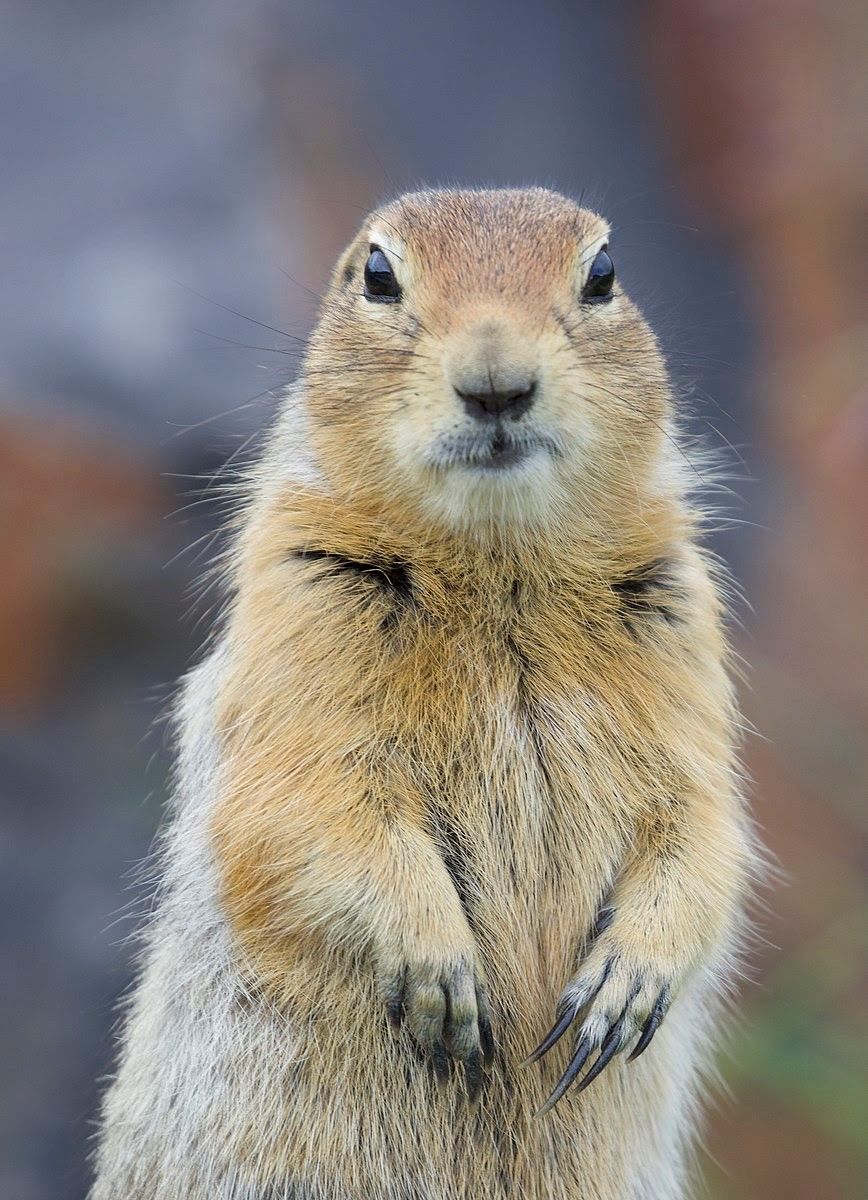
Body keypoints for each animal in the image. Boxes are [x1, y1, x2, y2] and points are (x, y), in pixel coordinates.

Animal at [91, 187, 758, 1200]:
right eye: (378, 274)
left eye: (604, 274)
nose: (496, 383)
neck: (499, 567)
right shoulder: (300, 615)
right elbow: (309, 807)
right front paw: (444, 976)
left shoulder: (684, 641)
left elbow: (706, 827)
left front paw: (625, 988)